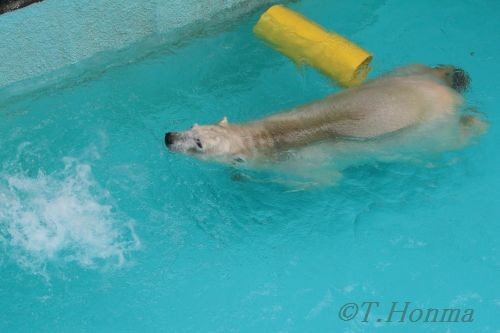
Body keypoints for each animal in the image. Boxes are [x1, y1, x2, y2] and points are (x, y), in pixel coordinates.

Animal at [166, 64, 486, 183]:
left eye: (198, 144)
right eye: (192, 127)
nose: (168, 137)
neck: (268, 141)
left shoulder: (303, 166)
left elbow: (323, 180)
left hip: (425, 135)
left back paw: (477, 124)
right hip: (401, 76)